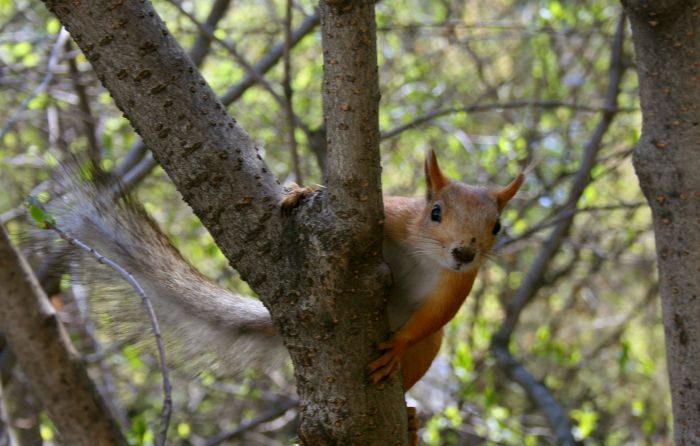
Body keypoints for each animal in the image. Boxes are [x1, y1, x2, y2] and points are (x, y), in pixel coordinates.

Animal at [38, 149, 520, 386]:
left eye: (497, 226)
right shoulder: (392, 217)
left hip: (429, 349)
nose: (464, 253)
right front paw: (302, 191)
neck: (427, 254)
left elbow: (438, 315)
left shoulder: (459, 285)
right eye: (435, 212)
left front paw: (397, 345)